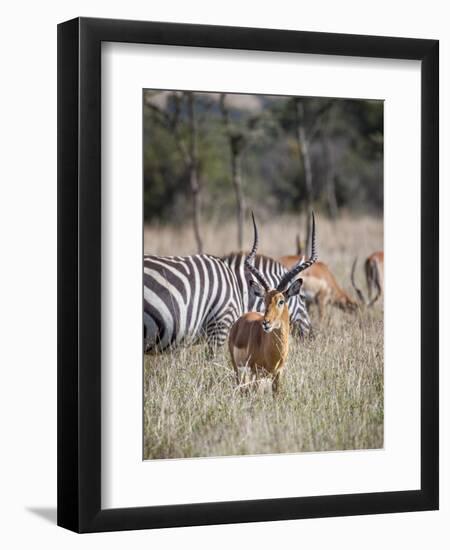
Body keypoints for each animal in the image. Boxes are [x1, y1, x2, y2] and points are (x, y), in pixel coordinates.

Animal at [229, 213, 316, 394]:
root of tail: (241, 319)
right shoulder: (255, 373)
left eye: (281, 301)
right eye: (264, 300)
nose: (266, 323)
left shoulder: (279, 375)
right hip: (239, 370)